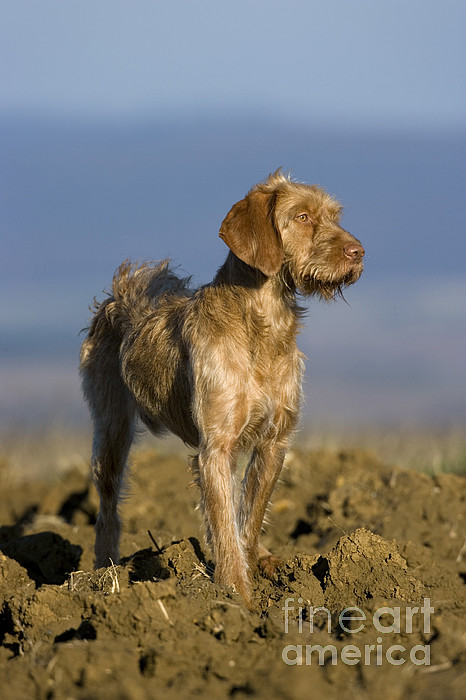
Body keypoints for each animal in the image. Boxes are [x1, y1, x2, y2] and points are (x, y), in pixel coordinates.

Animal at [79, 170, 364, 608]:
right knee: (107, 508)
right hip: (111, 432)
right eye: (302, 217)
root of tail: (121, 291)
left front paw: (251, 568)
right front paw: (236, 597)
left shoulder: (273, 443)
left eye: (334, 216)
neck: (264, 324)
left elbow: (247, 518)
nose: (359, 252)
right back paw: (105, 573)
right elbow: (226, 524)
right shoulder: (215, 445)